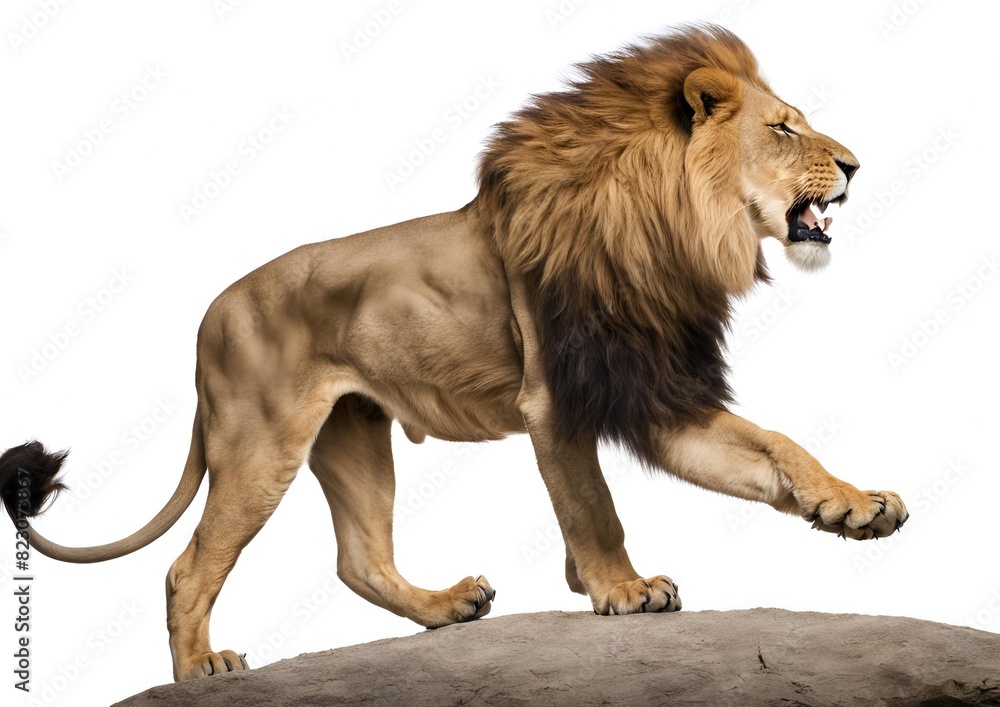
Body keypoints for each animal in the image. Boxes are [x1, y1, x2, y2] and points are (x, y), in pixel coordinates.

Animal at [0, 24, 907, 682]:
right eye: (783, 128)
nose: (858, 165)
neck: (668, 231)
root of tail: (203, 319)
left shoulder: (654, 392)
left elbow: (777, 447)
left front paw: (857, 505)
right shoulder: (555, 399)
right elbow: (593, 505)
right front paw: (622, 588)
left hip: (353, 436)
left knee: (359, 558)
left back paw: (449, 607)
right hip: (258, 444)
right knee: (188, 569)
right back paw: (201, 667)